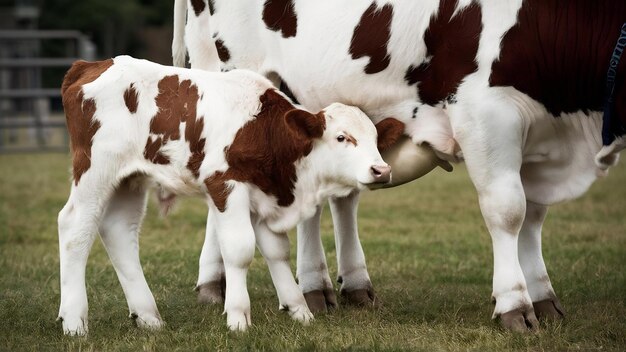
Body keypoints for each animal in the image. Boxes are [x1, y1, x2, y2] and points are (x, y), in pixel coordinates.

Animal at [57, 55, 404, 332]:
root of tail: (90, 65)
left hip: (130, 178)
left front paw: (299, 310)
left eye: (375, 139)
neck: (264, 130)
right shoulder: (224, 184)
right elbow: (239, 250)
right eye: (341, 137)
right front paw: (238, 317)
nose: (381, 169)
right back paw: (74, 321)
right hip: (95, 169)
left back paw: (148, 317)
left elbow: (277, 251)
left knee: (118, 230)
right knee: (74, 227)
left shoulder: (264, 196)